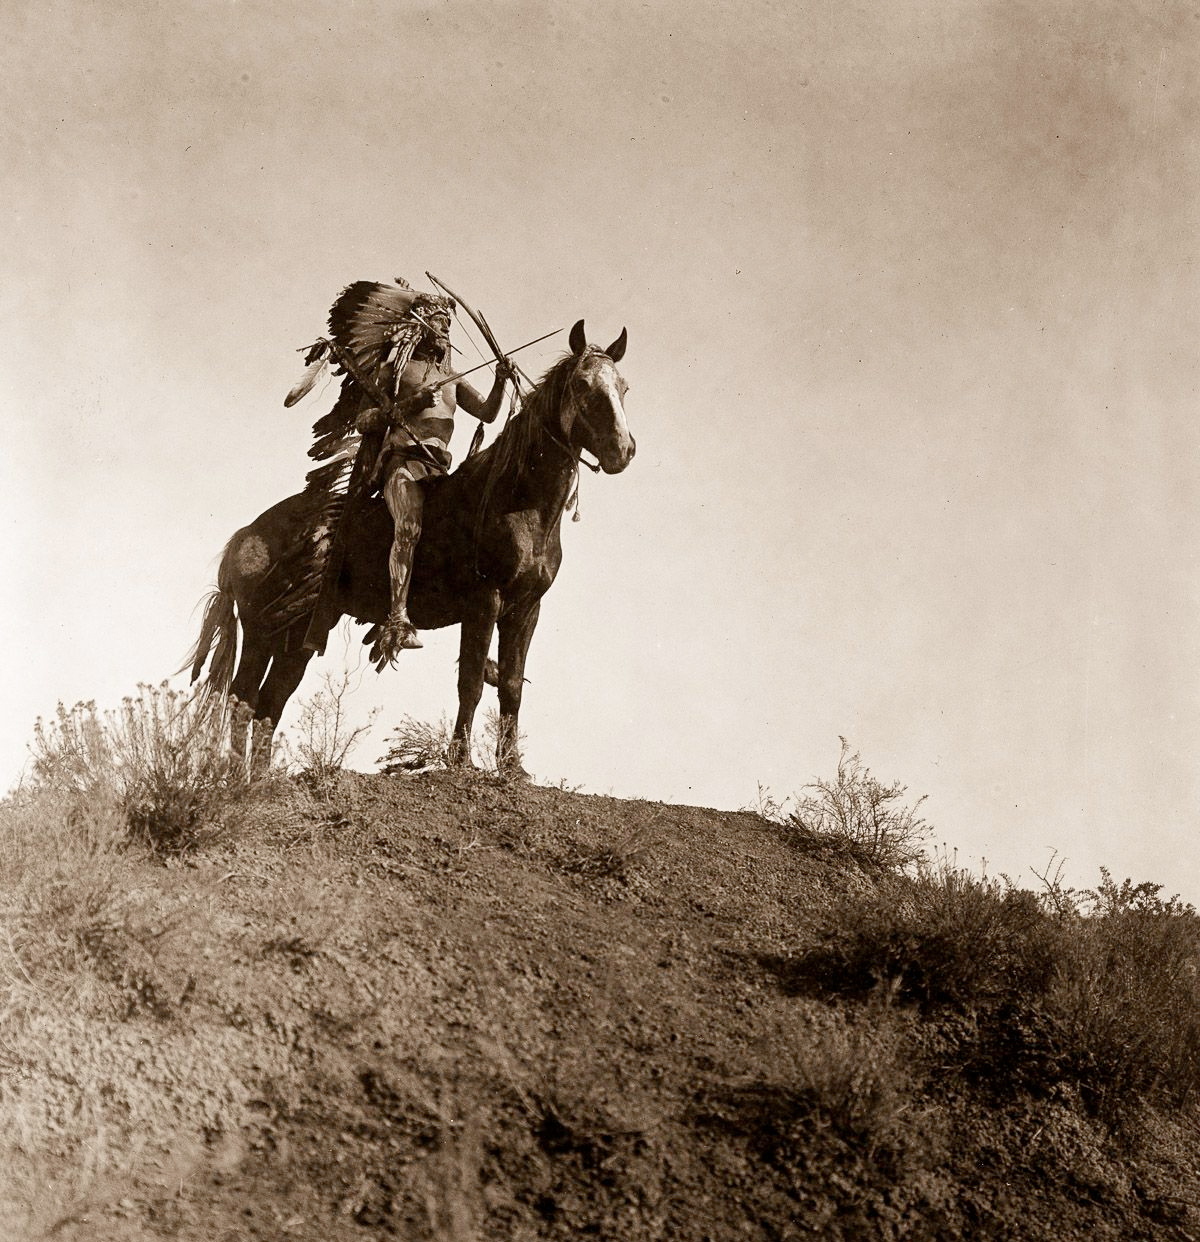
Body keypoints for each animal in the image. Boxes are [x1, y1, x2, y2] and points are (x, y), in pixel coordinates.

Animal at [182, 320, 633, 770]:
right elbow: (471, 681)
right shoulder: (484, 601)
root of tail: (244, 538)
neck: (517, 501)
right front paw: (461, 760)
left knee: (269, 703)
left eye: (623, 387)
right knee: (243, 698)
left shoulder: (526, 609)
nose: (623, 450)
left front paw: (511, 767)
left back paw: (256, 778)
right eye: (583, 384)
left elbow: (510, 685)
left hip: (296, 633)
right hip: (261, 631)